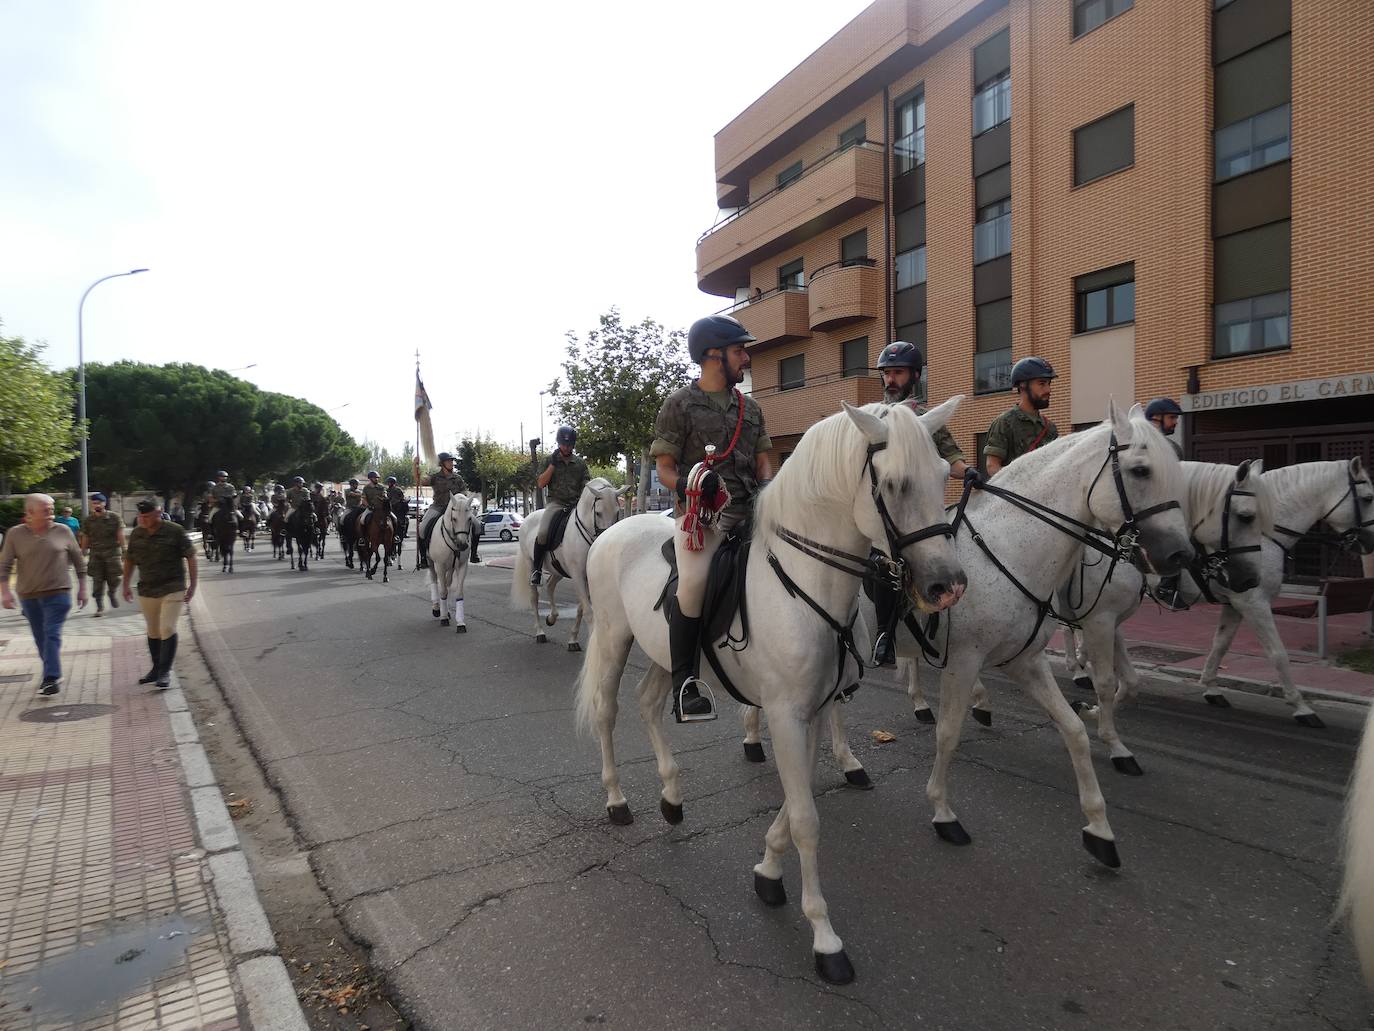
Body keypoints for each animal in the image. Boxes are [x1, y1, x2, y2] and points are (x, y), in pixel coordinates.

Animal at [423, 492, 472, 629]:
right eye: (454, 518)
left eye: (470, 519)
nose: (463, 545)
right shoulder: (439, 565)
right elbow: (443, 591)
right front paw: (443, 617)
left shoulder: (462, 566)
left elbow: (458, 592)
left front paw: (460, 622)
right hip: (431, 563)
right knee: (435, 581)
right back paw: (436, 609)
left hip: (450, 567)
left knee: (448, 583)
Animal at [513, 478, 626, 654]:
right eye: (598, 513)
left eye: (617, 512)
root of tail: (528, 517)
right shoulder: (578, 575)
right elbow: (588, 611)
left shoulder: (586, 578)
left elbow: (581, 609)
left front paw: (573, 640)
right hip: (530, 564)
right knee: (534, 598)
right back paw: (540, 632)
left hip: (558, 570)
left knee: (550, 586)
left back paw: (552, 617)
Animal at [571, 398, 967, 984]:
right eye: (894, 483)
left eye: (944, 475)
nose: (948, 585)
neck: (805, 581)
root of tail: (613, 531)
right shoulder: (784, 714)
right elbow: (806, 820)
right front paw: (824, 937)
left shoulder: (811, 712)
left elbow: (795, 802)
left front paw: (768, 869)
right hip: (615, 638)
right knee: (606, 711)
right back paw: (617, 799)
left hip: (666, 654)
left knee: (649, 703)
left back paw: (672, 796)